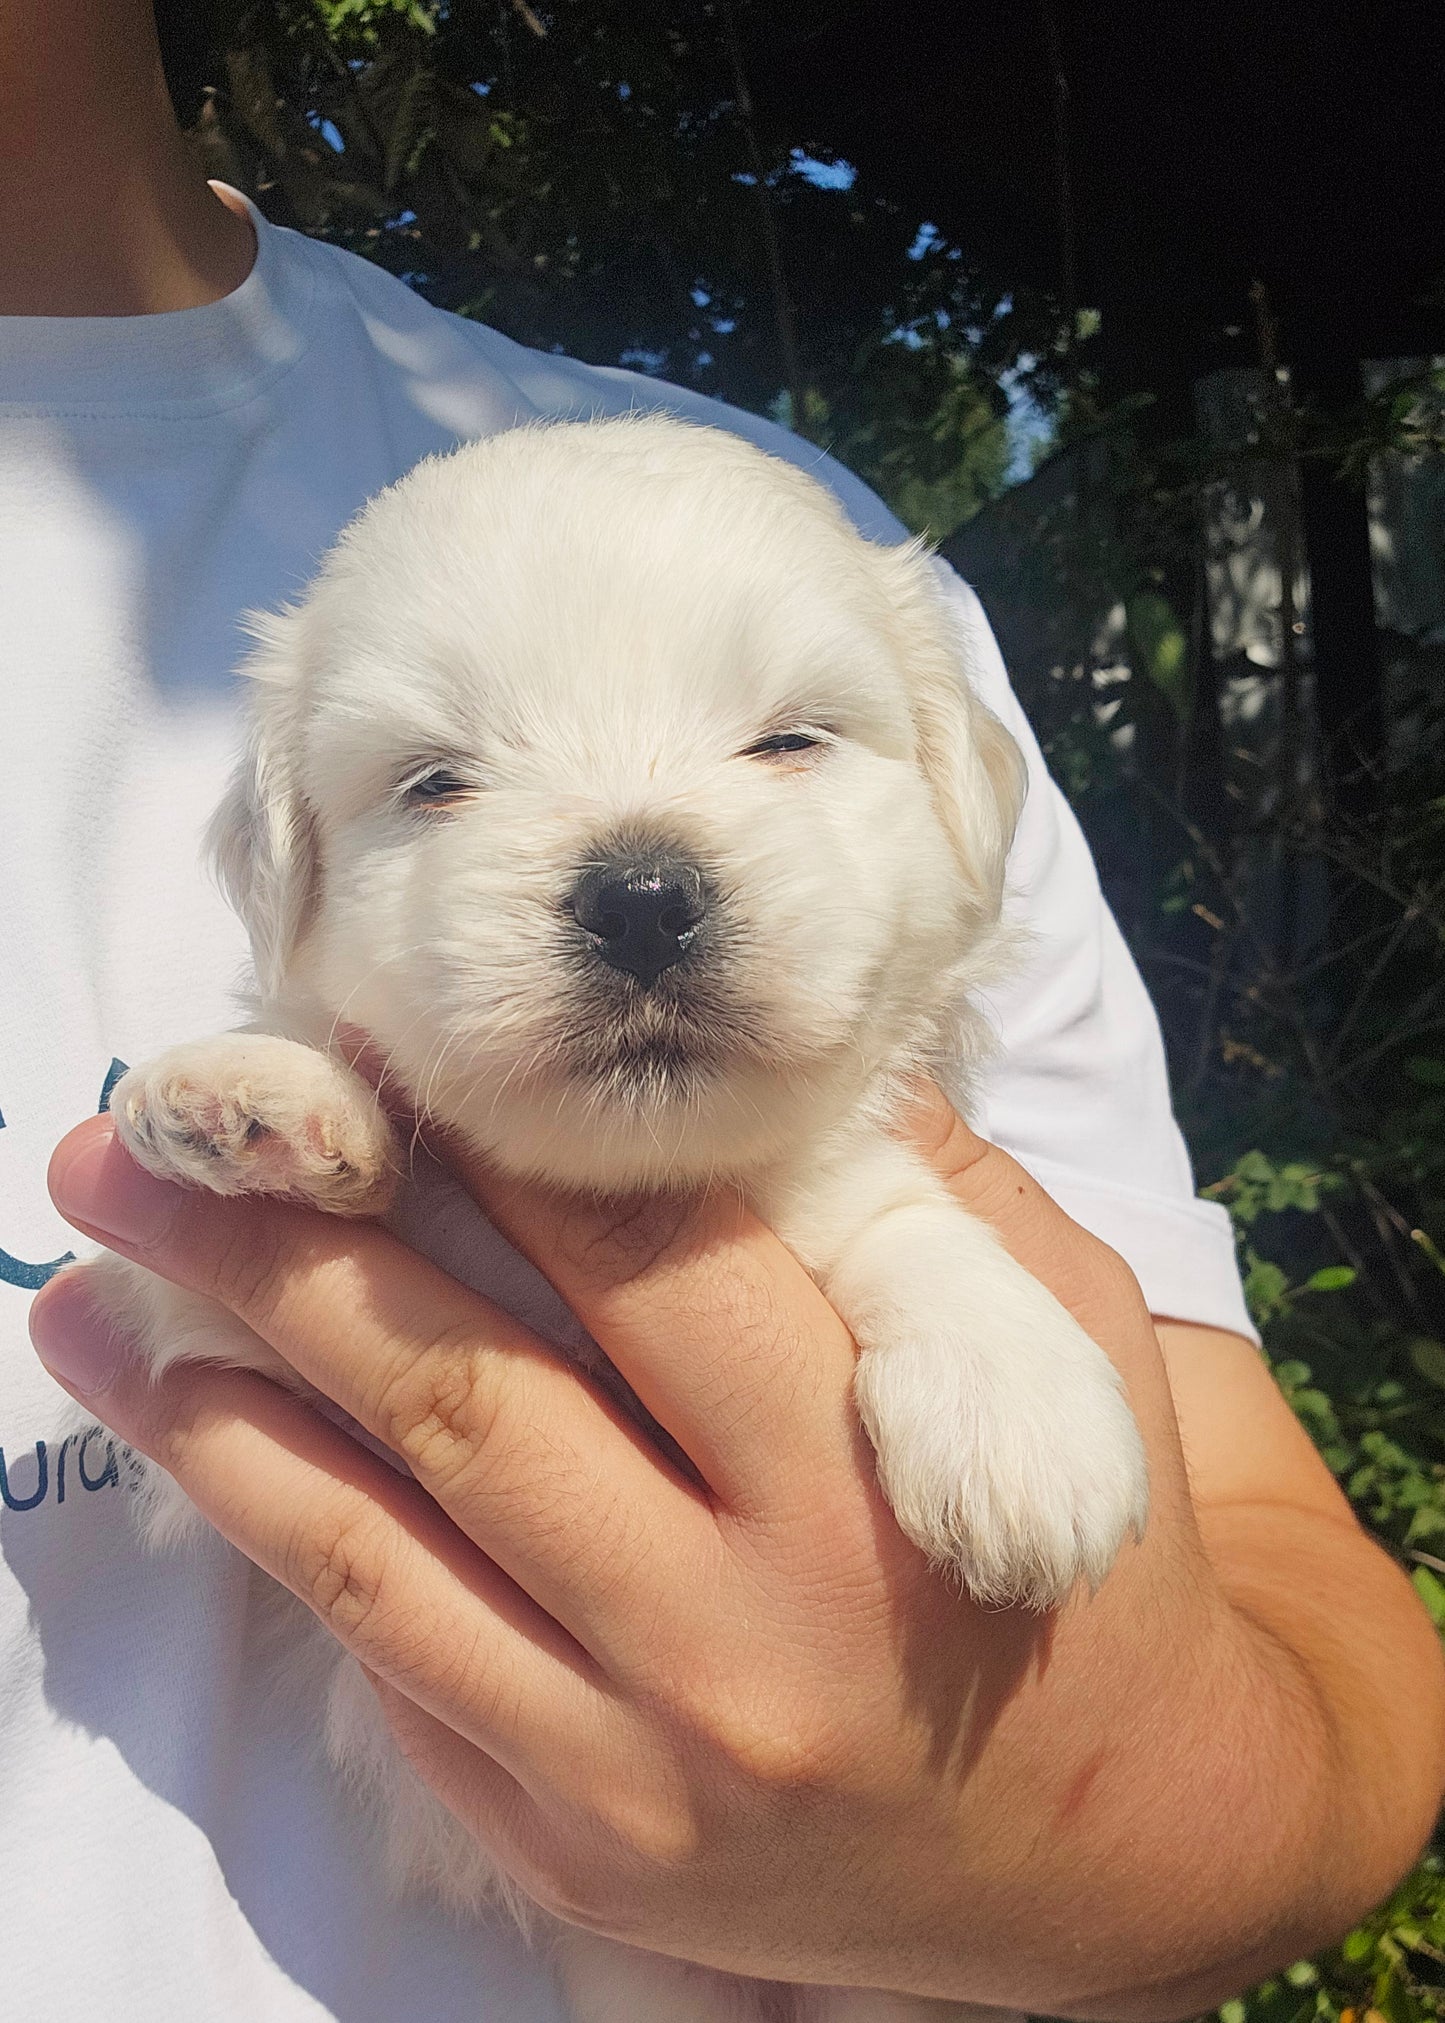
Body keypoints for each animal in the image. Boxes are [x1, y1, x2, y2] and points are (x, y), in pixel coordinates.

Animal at [81, 414, 1149, 2023]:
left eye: (788, 740)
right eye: (436, 782)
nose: (641, 896)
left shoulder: (844, 1171)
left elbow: (896, 1218)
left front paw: (1019, 1411)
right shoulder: (245, 1350)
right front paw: (255, 1091)